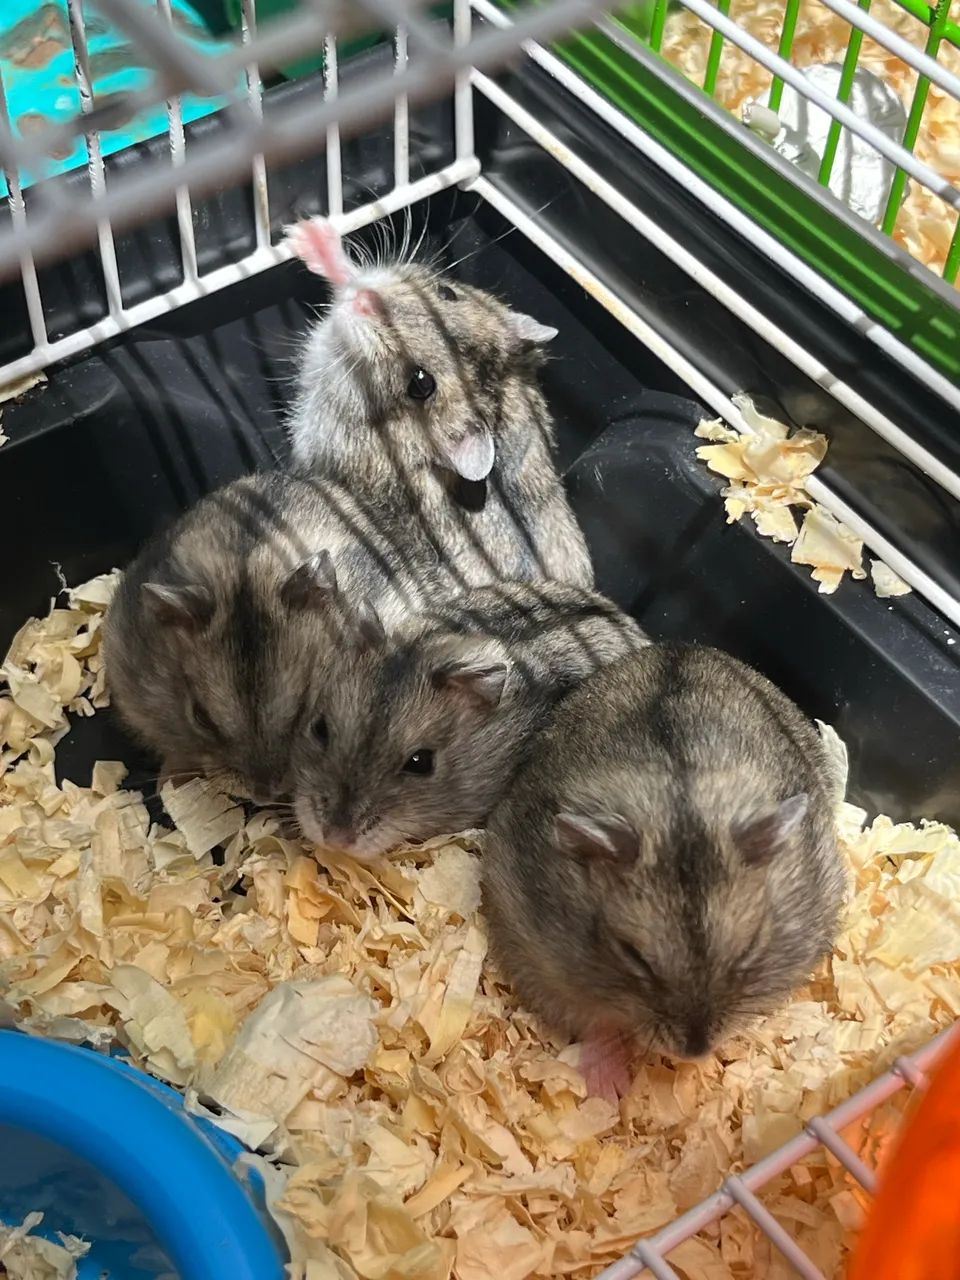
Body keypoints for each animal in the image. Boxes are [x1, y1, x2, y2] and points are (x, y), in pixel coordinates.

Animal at [482, 643, 846, 1102]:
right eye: (632, 954)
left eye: (749, 949)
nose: (695, 1051)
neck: (679, 802)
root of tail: (682, 646)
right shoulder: (533, 949)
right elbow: (595, 1022)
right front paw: (609, 1091)